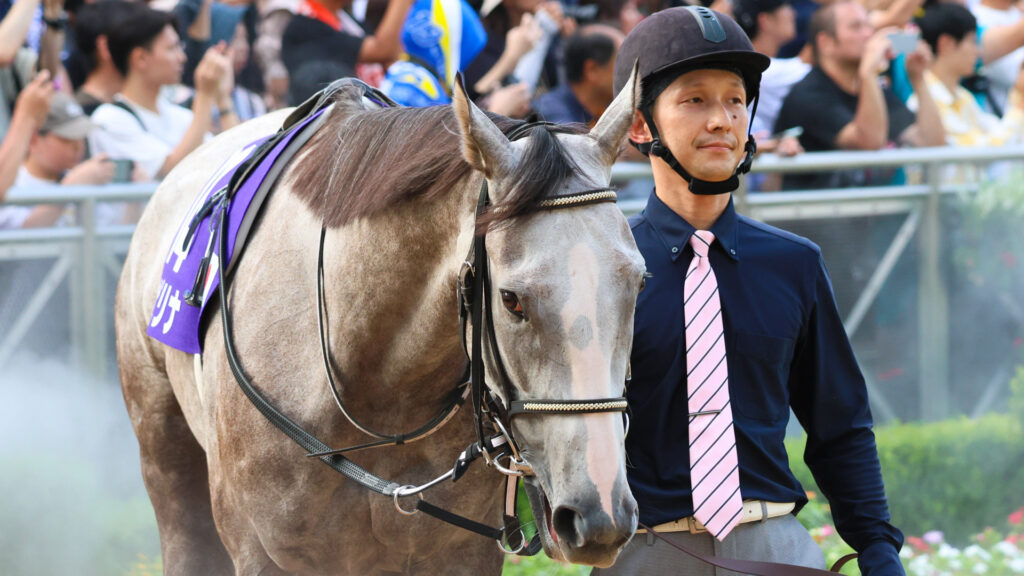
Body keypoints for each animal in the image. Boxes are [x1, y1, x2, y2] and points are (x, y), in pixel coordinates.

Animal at [115, 71, 645, 575]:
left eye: (638, 282)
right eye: (511, 300)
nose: (599, 514)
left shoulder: (456, 554)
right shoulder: (264, 553)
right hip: (166, 456)